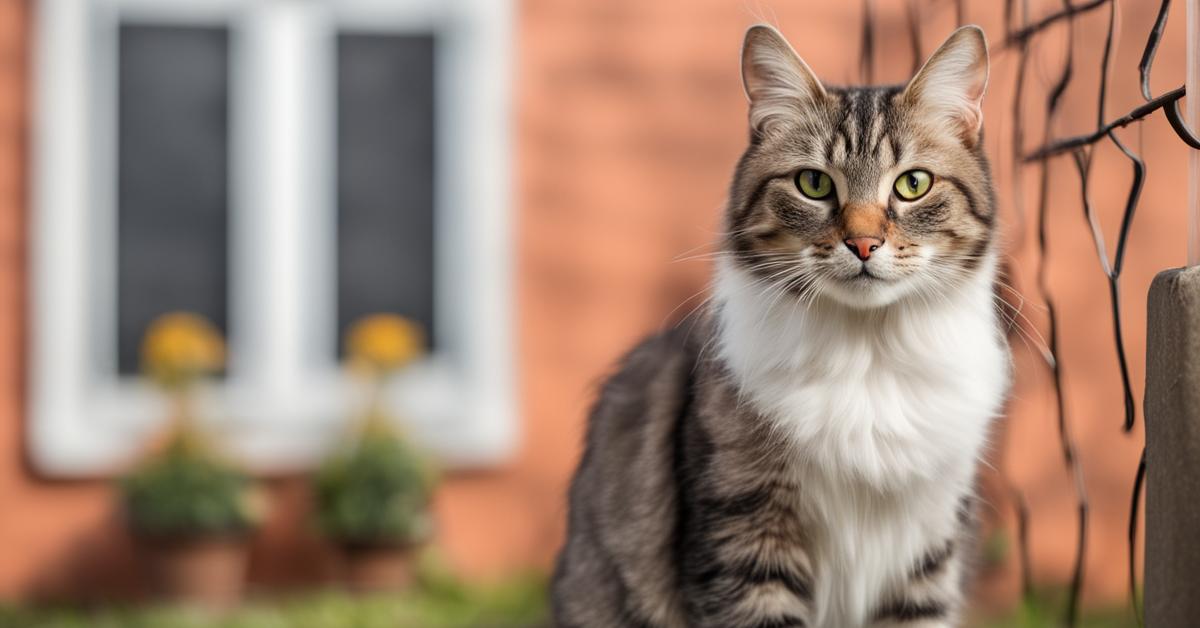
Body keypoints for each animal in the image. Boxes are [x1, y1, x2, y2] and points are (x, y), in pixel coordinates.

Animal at [554, 23, 1012, 628]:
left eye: (912, 184)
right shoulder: (745, 533)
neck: (868, 356)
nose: (863, 243)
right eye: (814, 184)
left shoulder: (928, 552)